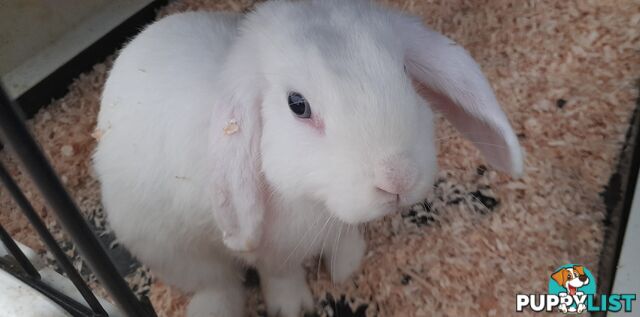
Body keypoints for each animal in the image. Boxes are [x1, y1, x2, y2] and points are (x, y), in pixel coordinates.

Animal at [96, 1, 524, 314]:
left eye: (404, 70)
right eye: (297, 105)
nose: (398, 179)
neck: (315, 203)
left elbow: (345, 240)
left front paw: (346, 266)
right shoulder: (273, 254)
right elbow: (280, 276)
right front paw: (293, 307)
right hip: (171, 250)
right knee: (216, 283)